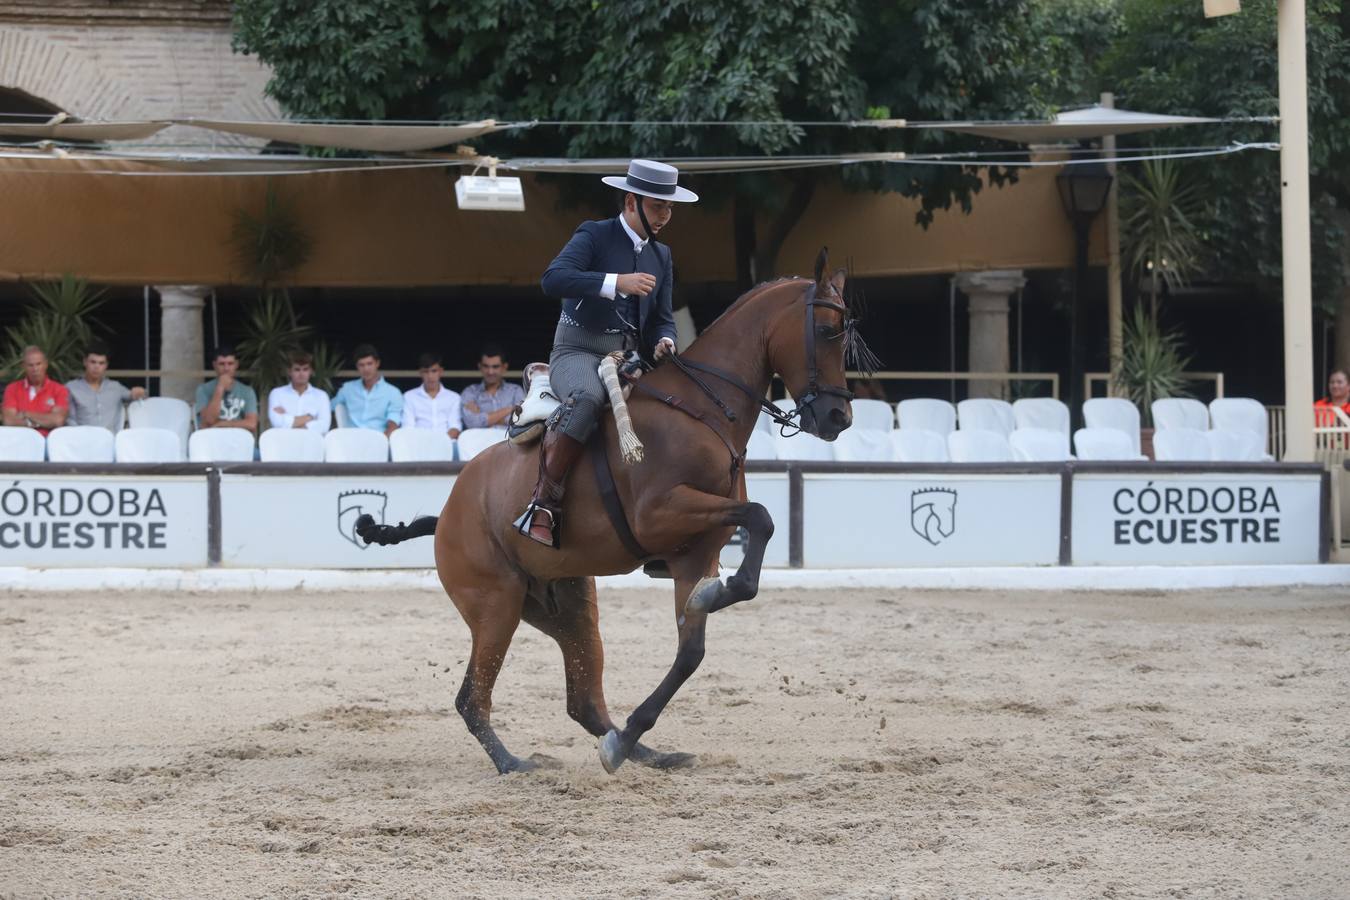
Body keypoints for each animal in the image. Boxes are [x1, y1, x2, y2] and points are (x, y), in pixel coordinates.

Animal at [367, 246, 864, 777]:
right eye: (826, 332)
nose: (838, 418)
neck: (700, 409)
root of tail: (446, 515)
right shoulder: (660, 513)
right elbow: (761, 516)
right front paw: (717, 594)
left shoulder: (695, 552)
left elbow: (693, 649)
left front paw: (710, 598)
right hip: (495, 606)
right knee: (472, 699)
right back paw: (514, 764)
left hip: (567, 607)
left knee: (583, 702)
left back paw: (636, 748)